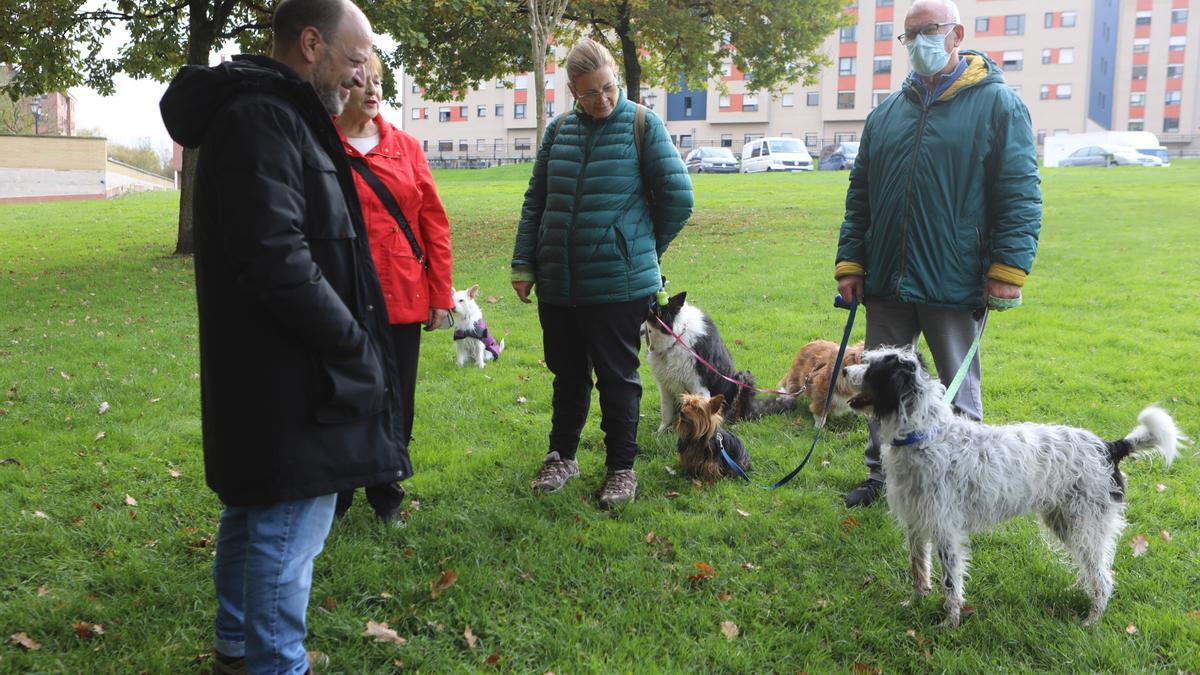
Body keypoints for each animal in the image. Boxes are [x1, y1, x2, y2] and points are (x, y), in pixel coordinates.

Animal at [840, 345, 1185, 624]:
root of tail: (1109, 446)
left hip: (1085, 525)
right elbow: (918, 570)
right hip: (1066, 524)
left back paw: (1092, 618)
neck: (926, 437)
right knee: (1093, 568)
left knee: (1103, 576)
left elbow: (951, 582)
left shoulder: (945, 530)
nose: (843, 370)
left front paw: (949, 622)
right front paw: (915, 603)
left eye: (872, 368)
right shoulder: (916, 523)